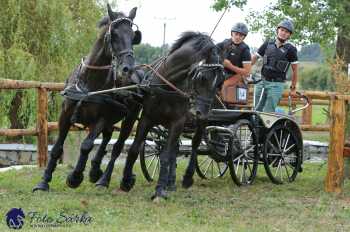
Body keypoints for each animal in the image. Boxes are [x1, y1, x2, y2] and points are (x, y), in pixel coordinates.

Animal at [32, 4, 142, 192]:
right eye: (114, 34)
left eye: (133, 36)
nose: (127, 69)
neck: (89, 83)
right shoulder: (65, 115)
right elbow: (57, 148)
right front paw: (44, 181)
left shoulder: (101, 118)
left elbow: (86, 145)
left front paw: (75, 177)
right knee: (108, 137)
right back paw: (96, 170)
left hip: (131, 117)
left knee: (119, 147)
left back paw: (111, 179)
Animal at [99, 31, 224, 200]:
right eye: (202, 77)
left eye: (220, 82)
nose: (201, 113)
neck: (166, 85)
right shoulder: (147, 119)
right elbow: (134, 149)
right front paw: (125, 182)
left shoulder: (177, 122)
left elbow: (165, 155)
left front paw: (159, 190)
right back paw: (169, 182)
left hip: (197, 124)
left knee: (194, 144)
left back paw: (186, 177)